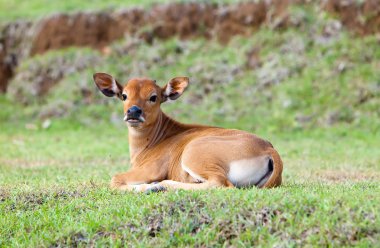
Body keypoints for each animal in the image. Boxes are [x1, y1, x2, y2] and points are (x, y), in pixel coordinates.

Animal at [93, 72, 282, 193]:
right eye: (124, 95)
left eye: (154, 97)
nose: (133, 111)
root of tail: (268, 148)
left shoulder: (151, 169)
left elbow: (114, 179)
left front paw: (148, 187)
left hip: (194, 154)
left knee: (220, 183)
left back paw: (160, 185)